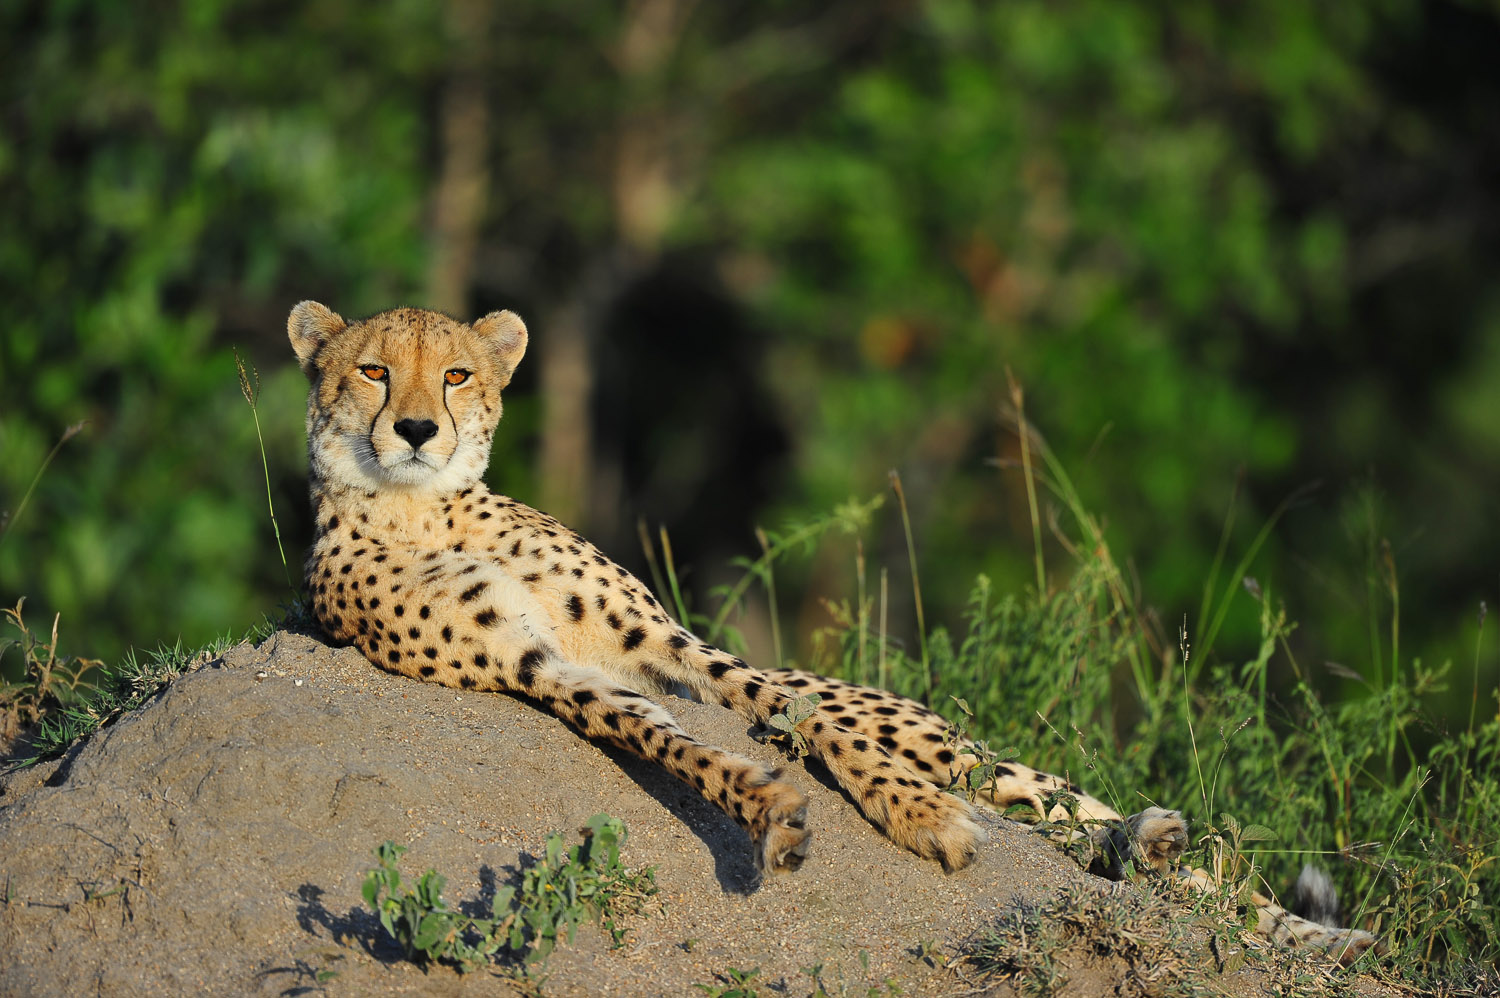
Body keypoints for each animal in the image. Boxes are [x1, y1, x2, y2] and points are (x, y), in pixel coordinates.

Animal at [288, 301, 1377, 964]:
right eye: (374, 372)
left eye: (456, 375)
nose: (417, 430)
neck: (427, 509)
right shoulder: (546, 669)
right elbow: (670, 738)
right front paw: (771, 808)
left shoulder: (670, 642)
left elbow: (794, 709)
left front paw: (915, 811)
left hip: (942, 730)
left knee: (1050, 798)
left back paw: (1278, 914)